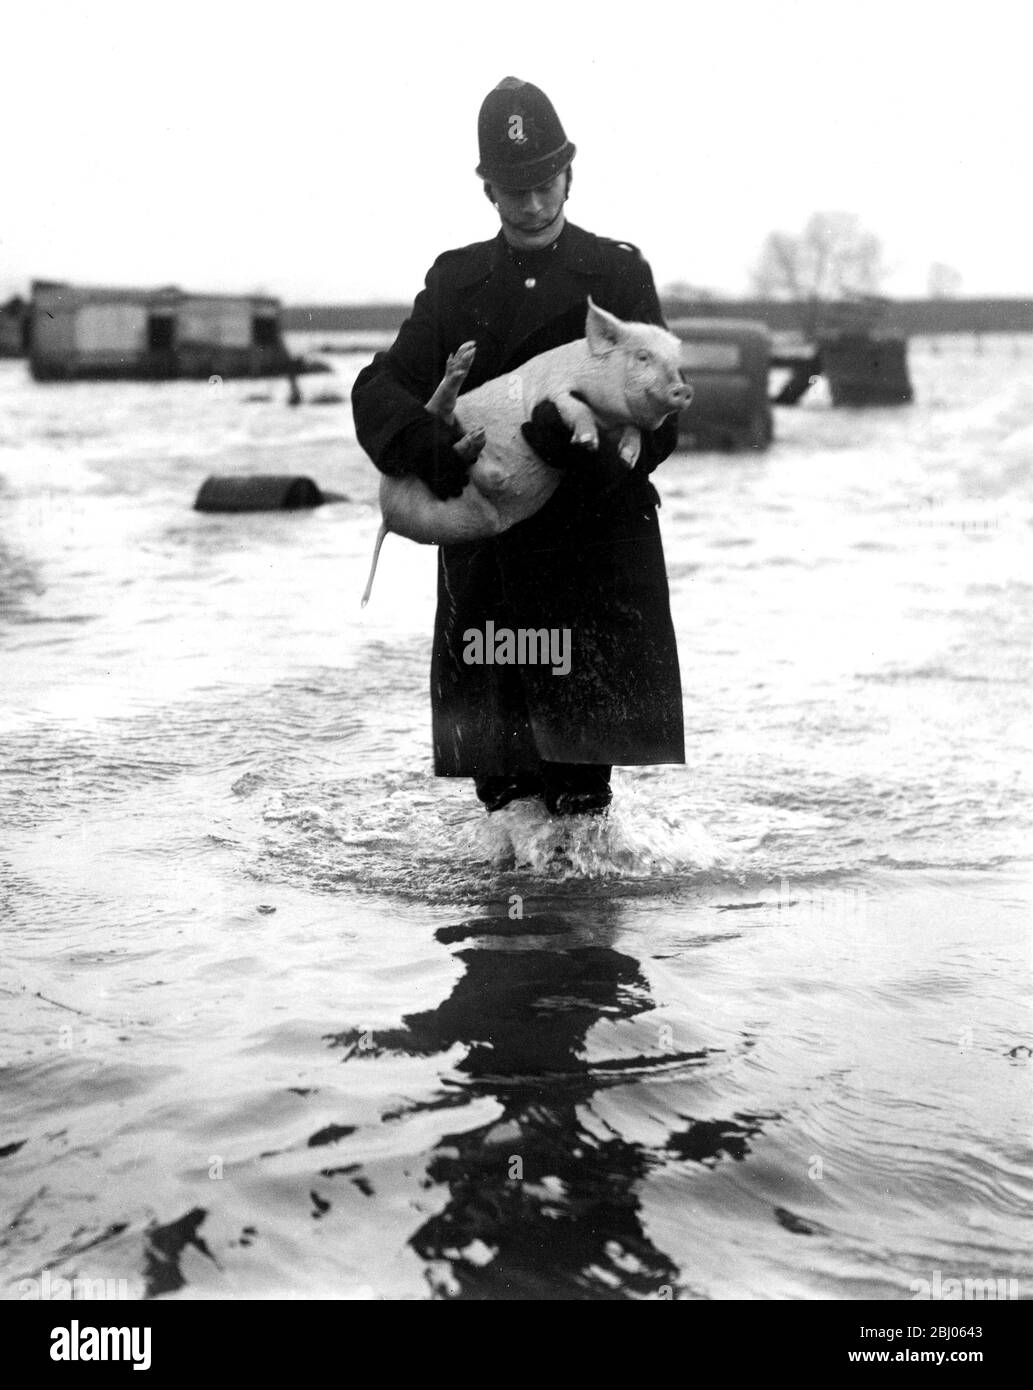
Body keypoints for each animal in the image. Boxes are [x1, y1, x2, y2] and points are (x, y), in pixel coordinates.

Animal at [358, 296, 689, 606]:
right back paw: (464, 360)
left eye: (676, 363)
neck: (605, 413)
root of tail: (387, 516)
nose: (683, 389)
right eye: (642, 356)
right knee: (436, 410)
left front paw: (626, 458)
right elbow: (576, 408)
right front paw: (587, 441)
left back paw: (475, 444)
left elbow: (634, 431)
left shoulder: (620, 423)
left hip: (462, 519)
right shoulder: (557, 392)